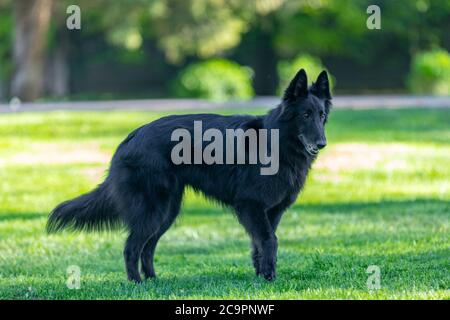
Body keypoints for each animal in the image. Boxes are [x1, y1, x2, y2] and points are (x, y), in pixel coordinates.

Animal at [47, 69, 332, 282]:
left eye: (321, 115)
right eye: (305, 114)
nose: (322, 144)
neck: (276, 141)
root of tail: (130, 139)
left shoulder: (271, 211)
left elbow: (259, 244)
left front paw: (261, 274)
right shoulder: (250, 205)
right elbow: (270, 240)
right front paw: (269, 277)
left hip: (167, 212)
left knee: (147, 247)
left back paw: (153, 280)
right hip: (154, 211)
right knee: (131, 247)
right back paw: (136, 283)